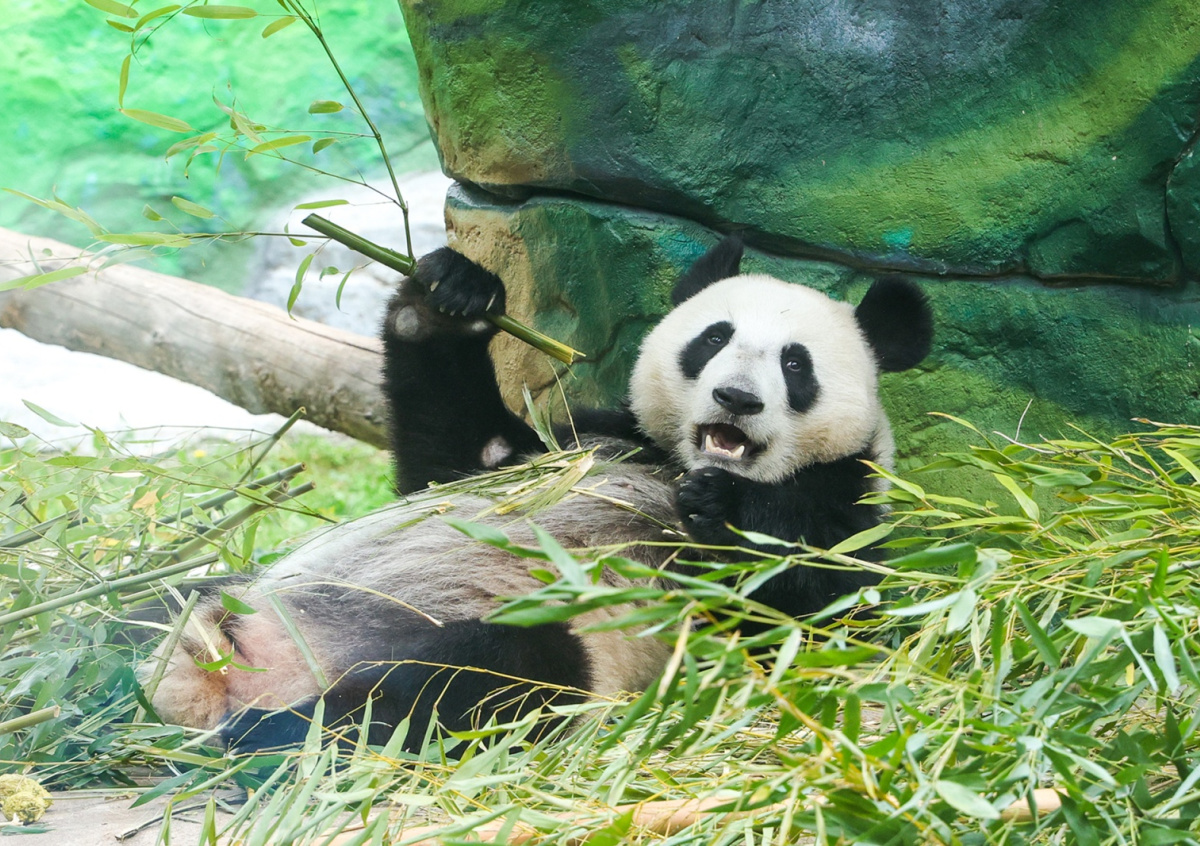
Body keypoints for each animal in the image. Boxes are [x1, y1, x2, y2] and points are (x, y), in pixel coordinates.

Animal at [143, 236, 933, 752]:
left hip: (543, 641)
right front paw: (449, 298)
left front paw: (730, 514)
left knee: (469, 680)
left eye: (796, 365)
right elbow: (458, 464)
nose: (736, 398)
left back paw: (275, 733)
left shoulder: (849, 501)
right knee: (154, 608)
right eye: (713, 338)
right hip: (235, 591)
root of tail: (230, 675)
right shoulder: (578, 442)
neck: (676, 461)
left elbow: (819, 613)